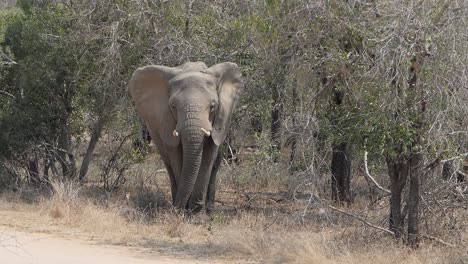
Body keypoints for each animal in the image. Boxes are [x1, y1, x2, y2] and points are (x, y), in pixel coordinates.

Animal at [129, 62, 245, 212]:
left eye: (213, 106)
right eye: (173, 107)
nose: (177, 208)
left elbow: (208, 157)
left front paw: (196, 211)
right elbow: (177, 156)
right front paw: (185, 209)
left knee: (215, 164)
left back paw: (209, 208)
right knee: (168, 163)